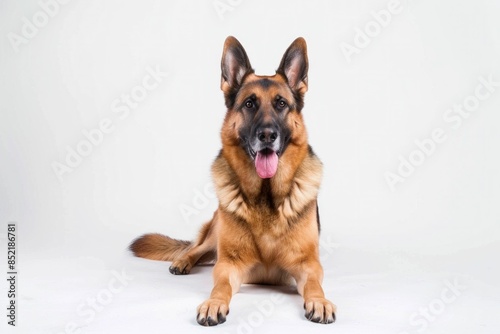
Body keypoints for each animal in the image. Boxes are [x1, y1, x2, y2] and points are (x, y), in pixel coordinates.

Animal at [131, 36, 338, 326]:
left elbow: (314, 285)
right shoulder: (228, 265)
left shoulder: (309, 265)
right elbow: (220, 285)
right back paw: (182, 261)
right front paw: (213, 303)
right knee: (196, 247)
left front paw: (319, 302)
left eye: (281, 104)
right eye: (249, 104)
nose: (267, 135)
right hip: (216, 229)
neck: (265, 196)